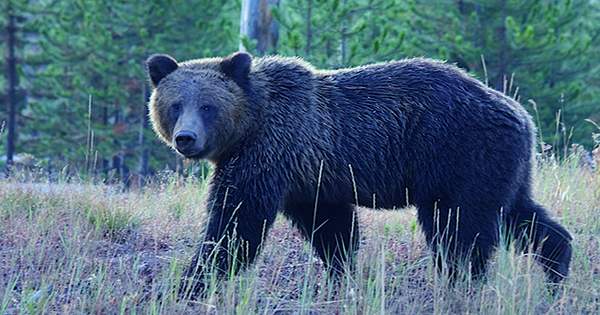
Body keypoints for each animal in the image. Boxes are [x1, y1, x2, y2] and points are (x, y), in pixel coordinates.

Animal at [144, 52, 572, 302]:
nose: (186, 138)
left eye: (208, 105)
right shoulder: (309, 177)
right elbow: (331, 229)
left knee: (459, 229)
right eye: (175, 104)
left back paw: (460, 285)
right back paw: (556, 270)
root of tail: (519, 112)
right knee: (521, 214)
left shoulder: (270, 153)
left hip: (461, 154)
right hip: (502, 165)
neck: (253, 122)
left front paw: (188, 285)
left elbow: (236, 225)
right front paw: (342, 277)